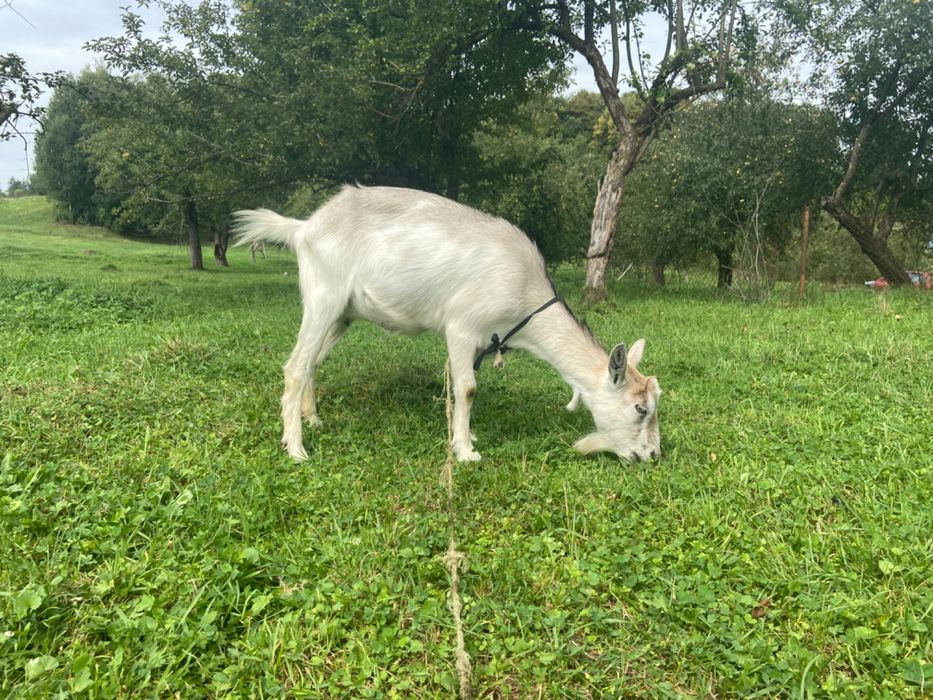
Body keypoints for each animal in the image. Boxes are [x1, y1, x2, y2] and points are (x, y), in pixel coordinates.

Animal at [232, 185, 661, 462]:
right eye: (640, 408)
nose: (653, 455)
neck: (524, 289)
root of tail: (303, 227)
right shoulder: (461, 326)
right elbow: (467, 388)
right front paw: (467, 452)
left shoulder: (481, 342)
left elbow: (462, 387)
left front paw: (465, 434)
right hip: (324, 297)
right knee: (295, 366)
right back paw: (296, 448)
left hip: (342, 314)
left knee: (313, 363)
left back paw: (313, 418)